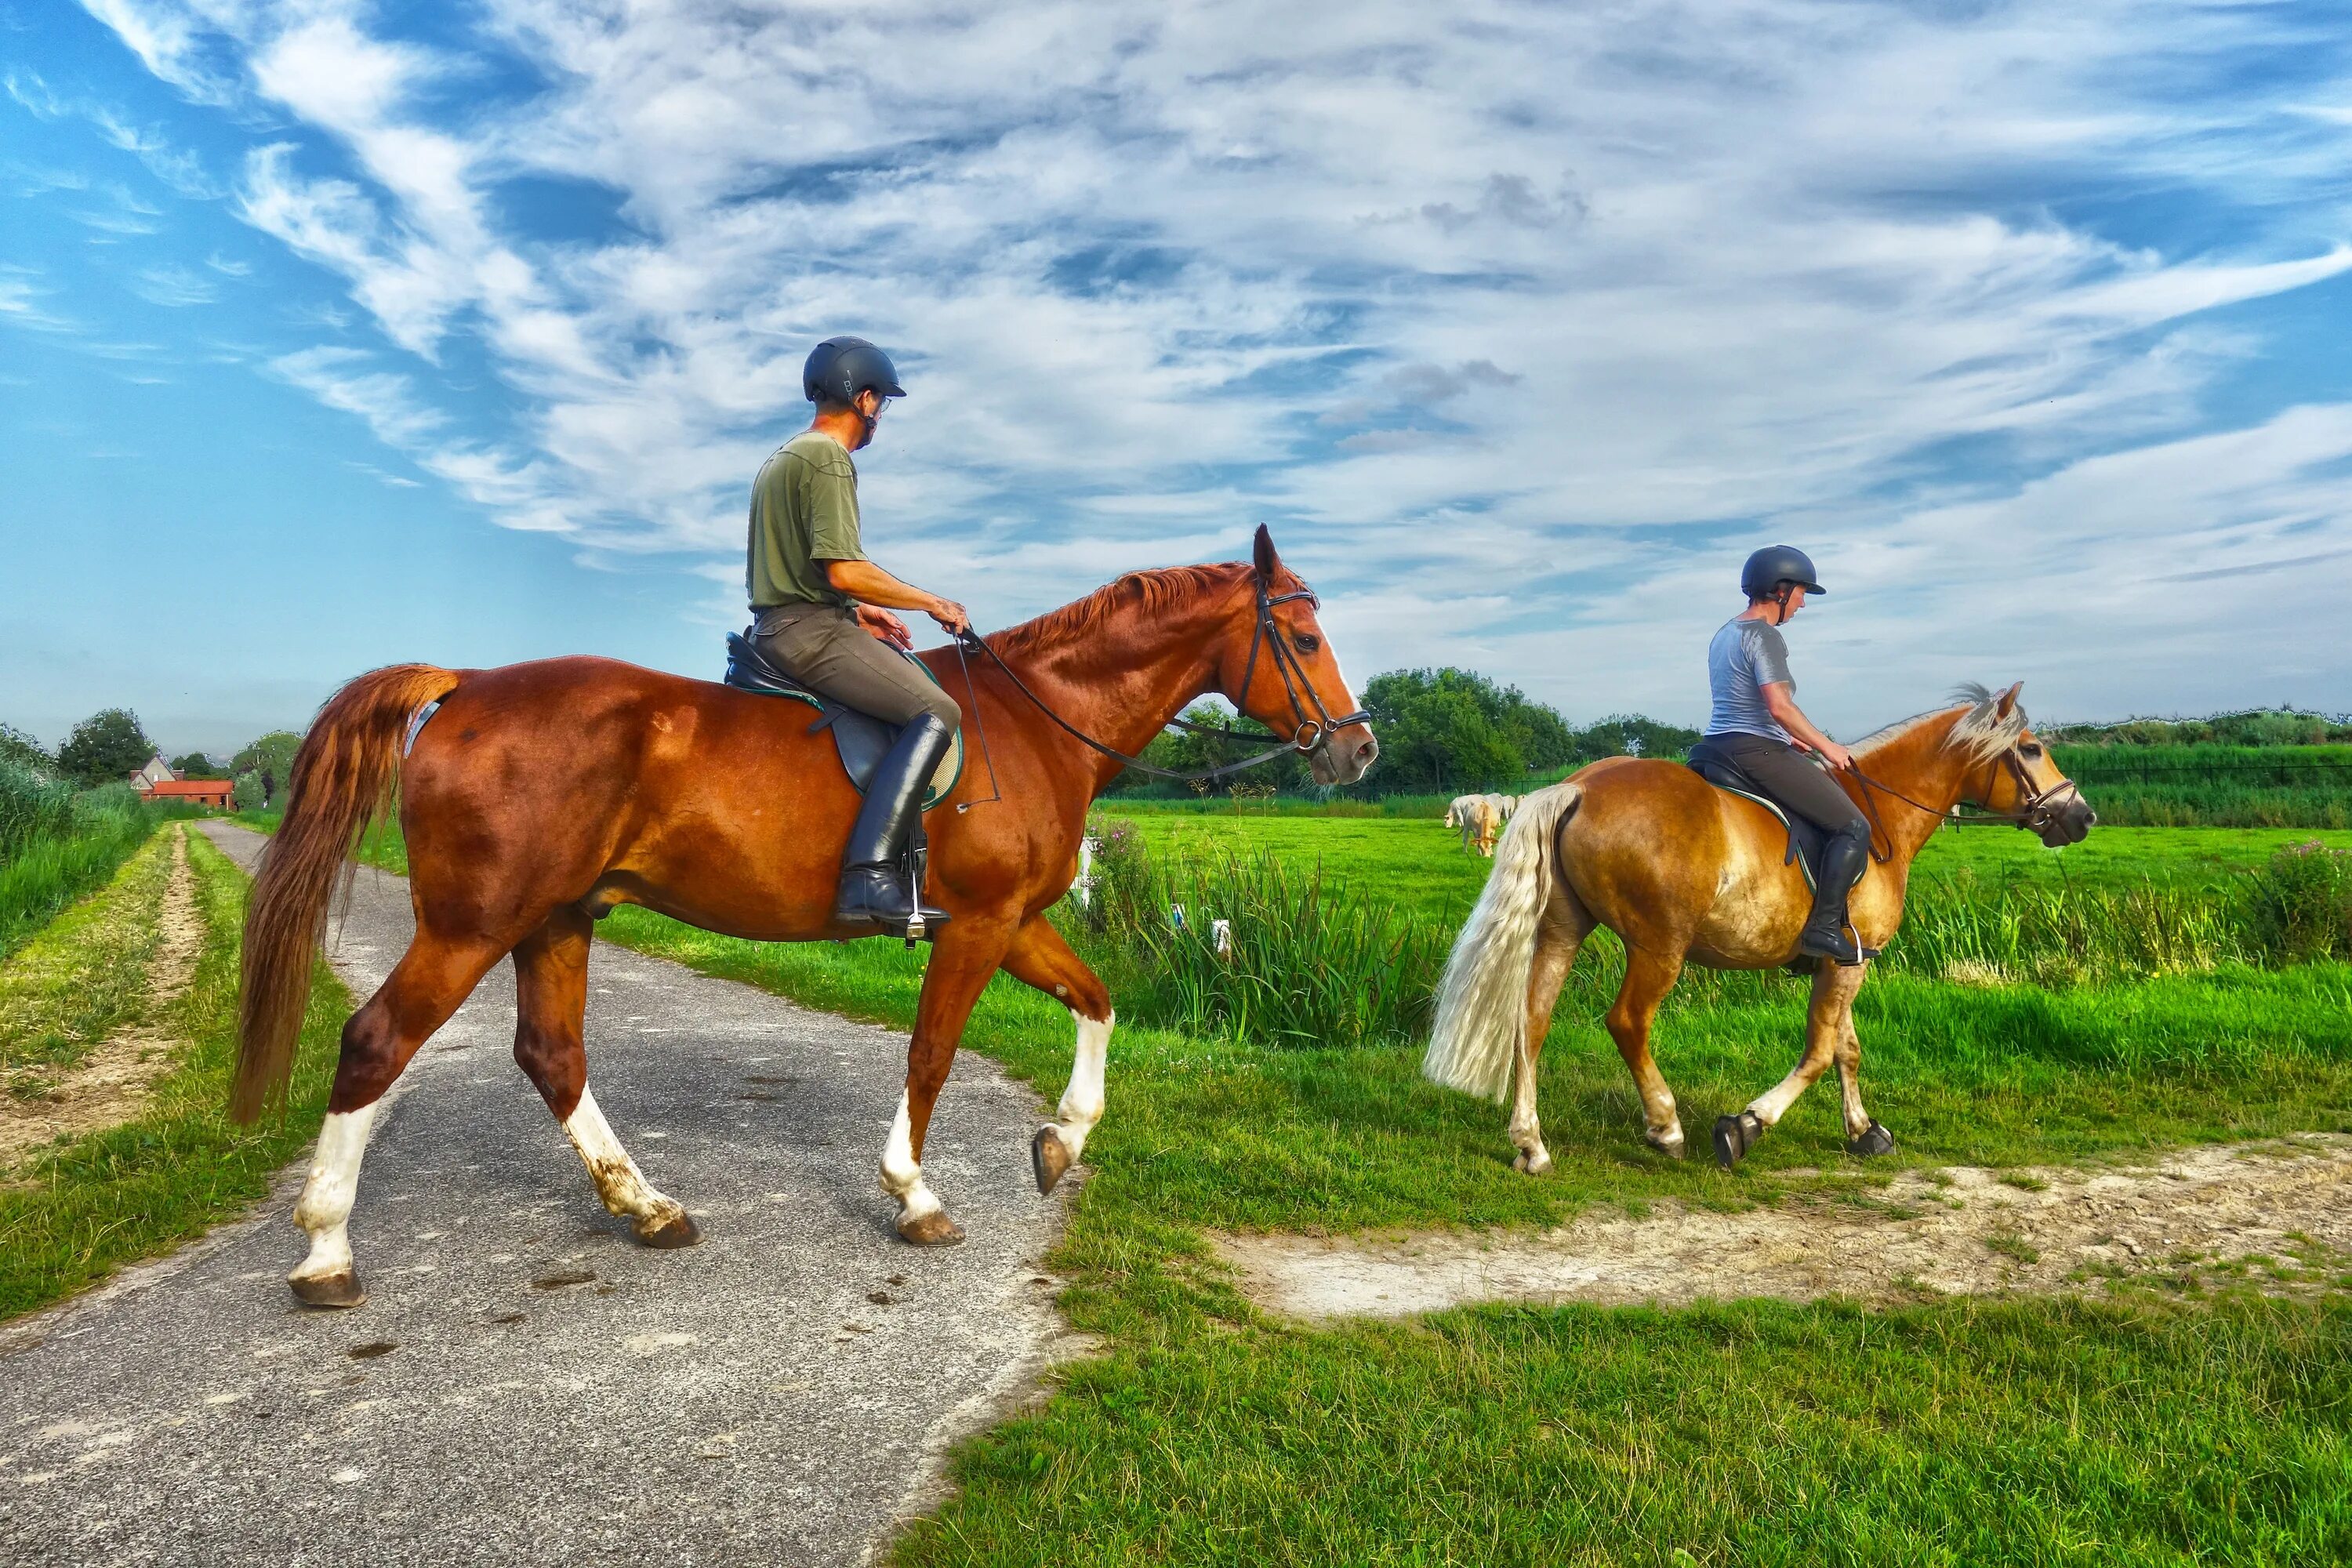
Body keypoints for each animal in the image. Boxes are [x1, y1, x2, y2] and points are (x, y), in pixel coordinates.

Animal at [229, 531, 1374, 1316]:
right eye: (1303, 636)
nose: (1357, 751)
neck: (1034, 720)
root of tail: (465, 686)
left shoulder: (1014, 922)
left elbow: (1099, 1001)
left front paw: (1063, 1139)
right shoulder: (977, 924)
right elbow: (930, 1053)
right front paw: (914, 1195)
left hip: (555, 919)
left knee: (551, 1054)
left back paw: (649, 1208)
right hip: (473, 925)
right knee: (376, 1041)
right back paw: (326, 1252)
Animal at [1411, 681, 2098, 1171]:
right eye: (2031, 748)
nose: (2083, 816)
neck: (1879, 816)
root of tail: (1577, 787)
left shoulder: (1845, 959)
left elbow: (1846, 1048)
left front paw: (1863, 1131)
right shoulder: (1848, 961)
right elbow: (1818, 1053)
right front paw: (1745, 1126)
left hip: (1562, 931)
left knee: (1532, 1022)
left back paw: (1532, 1145)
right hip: (1659, 945)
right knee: (1628, 1022)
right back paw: (1666, 1126)